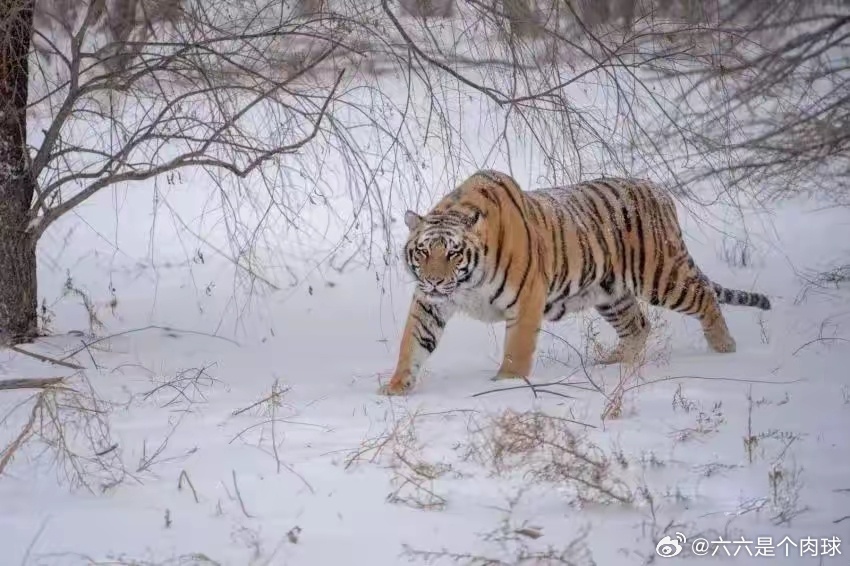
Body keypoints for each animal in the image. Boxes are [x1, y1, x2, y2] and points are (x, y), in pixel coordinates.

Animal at [380, 171, 772, 398]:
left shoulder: (526, 300)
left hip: (661, 276)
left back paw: (723, 346)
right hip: (611, 293)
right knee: (639, 325)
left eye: (453, 253)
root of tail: (659, 191)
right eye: (423, 252)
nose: (433, 280)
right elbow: (412, 344)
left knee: (704, 296)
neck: (466, 284)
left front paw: (506, 387)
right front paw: (396, 387)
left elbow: (516, 351)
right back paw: (616, 363)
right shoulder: (430, 304)